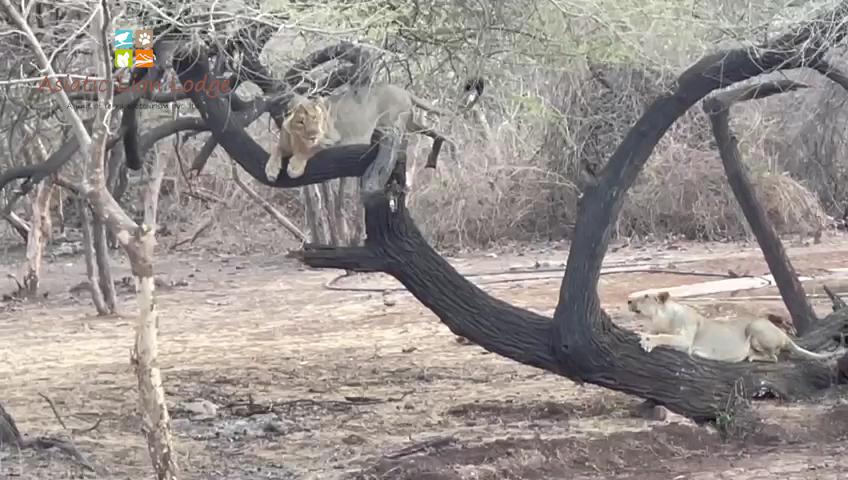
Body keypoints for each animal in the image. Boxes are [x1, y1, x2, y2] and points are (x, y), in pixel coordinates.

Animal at [627, 291, 831, 363]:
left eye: (645, 296)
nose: (628, 300)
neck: (661, 319)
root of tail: (785, 336)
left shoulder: (686, 340)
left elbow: (665, 337)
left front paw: (647, 342)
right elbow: (653, 333)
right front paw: (642, 334)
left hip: (755, 326)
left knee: (773, 357)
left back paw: (752, 356)